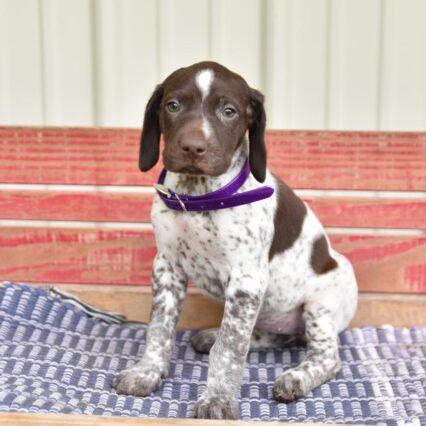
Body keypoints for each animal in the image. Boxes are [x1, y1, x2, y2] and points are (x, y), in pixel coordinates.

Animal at [111, 61, 358, 422]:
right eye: (173, 105)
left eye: (228, 112)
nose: (193, 148)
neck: (199, 196)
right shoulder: (167, 267)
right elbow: (159, 328)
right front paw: (147, 373)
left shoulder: (246, 282)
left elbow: (229, 348)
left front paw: (217, 399)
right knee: (269, 336)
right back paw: (213, 336)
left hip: (320, 306)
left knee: (327, 358)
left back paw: (296, 377)